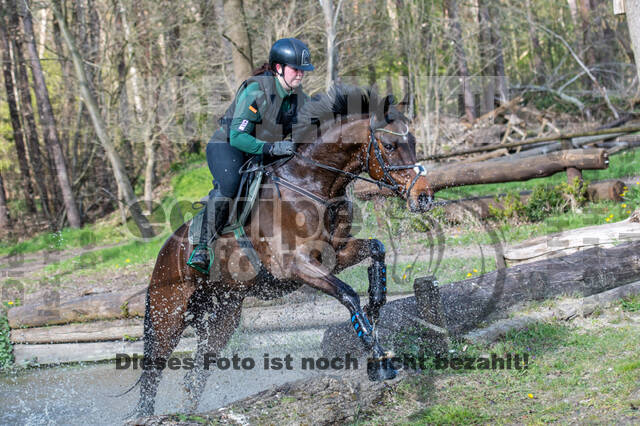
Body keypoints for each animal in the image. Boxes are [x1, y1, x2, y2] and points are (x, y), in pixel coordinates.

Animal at [134, 84, 436, 416]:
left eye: (413, 142)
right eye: (391, 146)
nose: (424, 197)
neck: (312, 185)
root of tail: (164, 252)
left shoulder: (336, 255)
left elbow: (377, 249)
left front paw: (377, 302)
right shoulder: (297, 265)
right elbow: (348, 295)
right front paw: (379, 359)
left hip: (225, 313)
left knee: (199, 369)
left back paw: (189, 411)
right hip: (169, 315)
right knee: (153, 370)